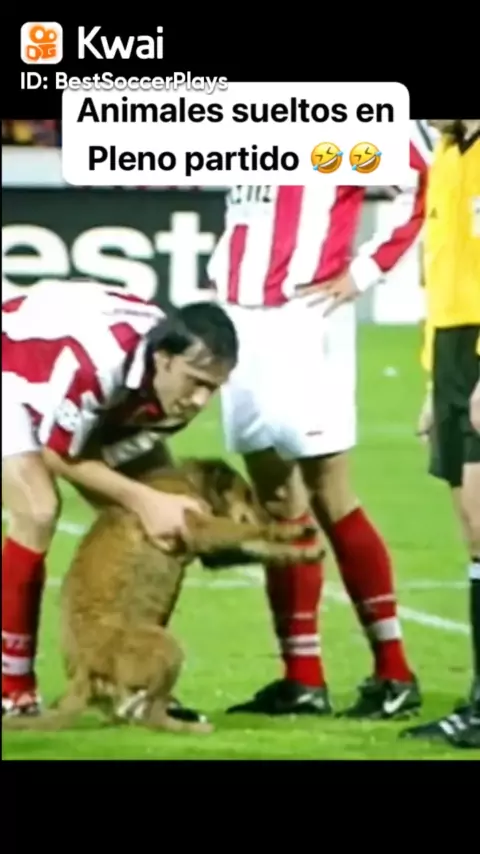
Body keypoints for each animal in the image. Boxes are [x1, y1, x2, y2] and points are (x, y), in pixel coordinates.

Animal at [3, 458, 323, 735]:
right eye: (247, 495)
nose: (269, 511)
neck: (190, 482)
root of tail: (84, 671)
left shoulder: (213, 545)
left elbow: (263, 546)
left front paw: (306, 552)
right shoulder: (201, 527)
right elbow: (254, 530)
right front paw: (290, 529)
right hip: (166, 646)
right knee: (152, 715)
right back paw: (188, 727)